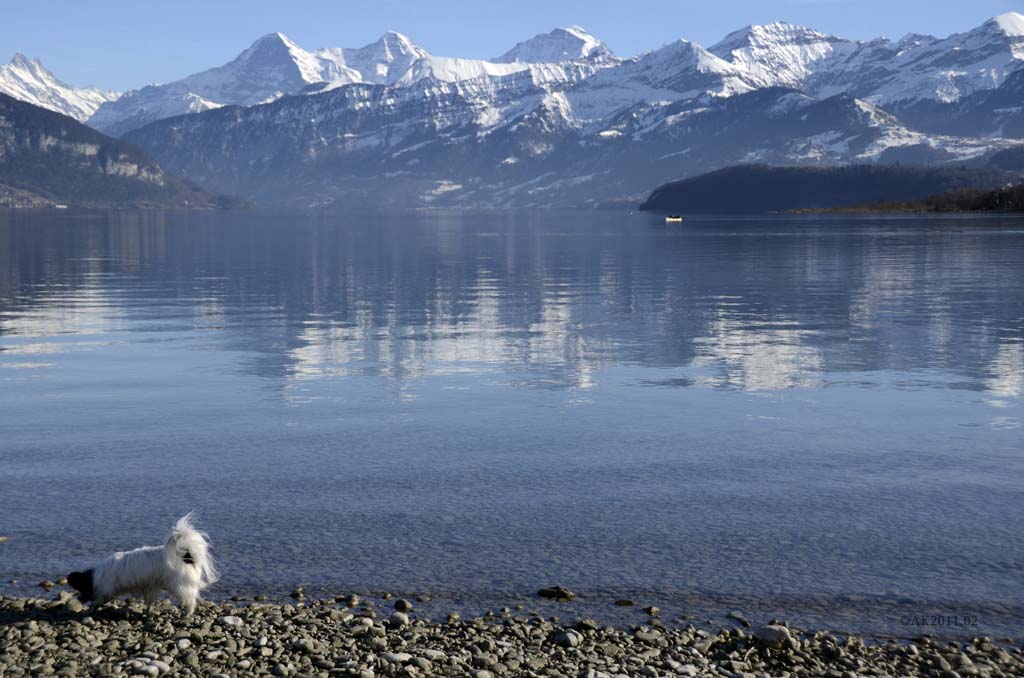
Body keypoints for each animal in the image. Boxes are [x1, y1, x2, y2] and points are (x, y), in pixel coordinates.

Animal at [66, 516, 218, 614]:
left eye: (80, 589)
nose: (78, 599)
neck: (95, 577)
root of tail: (186, 556)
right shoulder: (150, 588)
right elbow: (149, 602)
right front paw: (147, 611)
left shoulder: (106, 591)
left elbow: (98, 602)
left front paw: (90, 610)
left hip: (178, 585)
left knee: (191, 601)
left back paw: (187, 614)